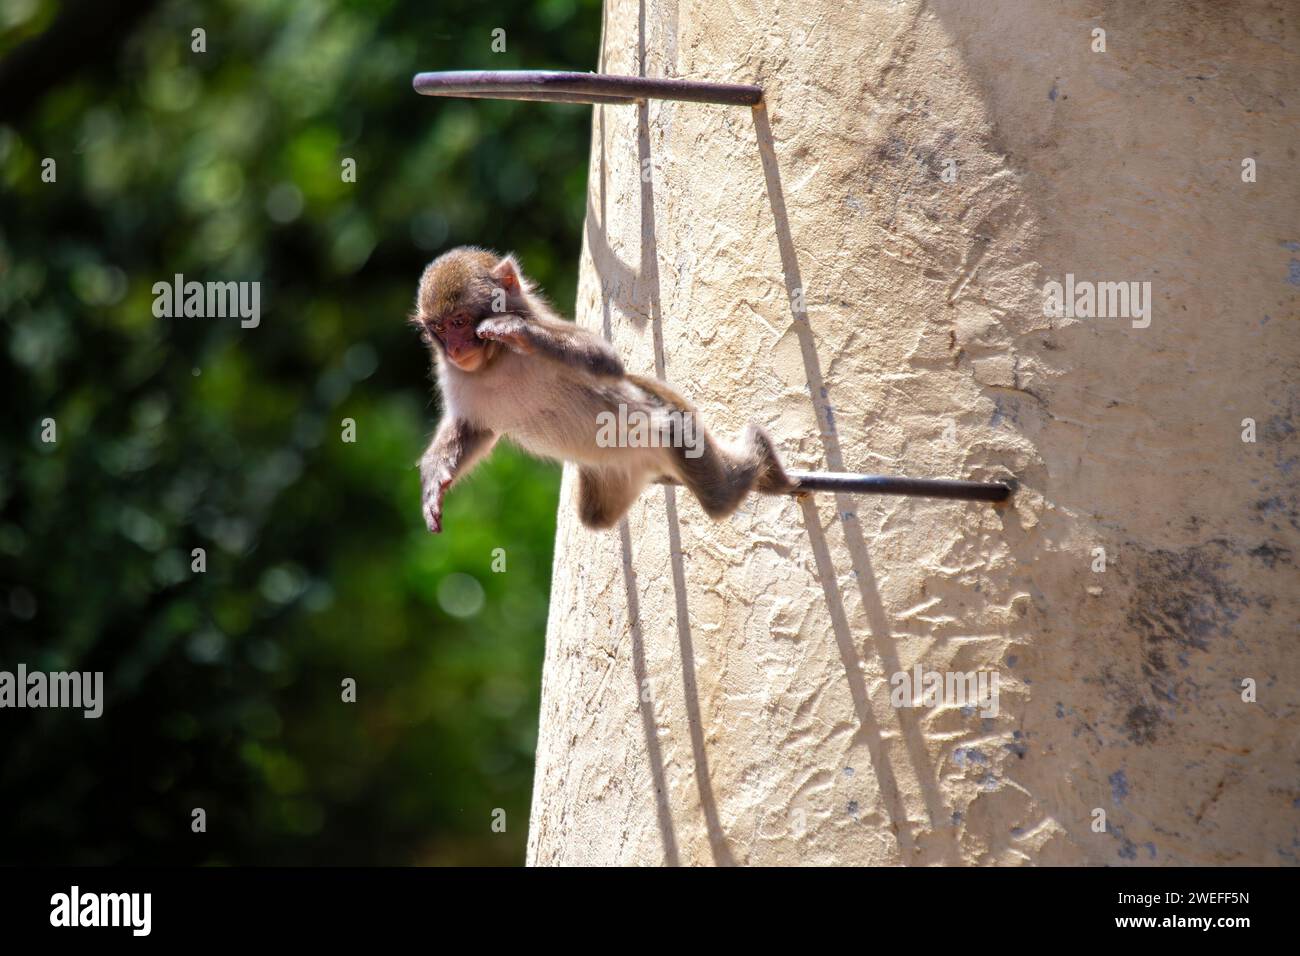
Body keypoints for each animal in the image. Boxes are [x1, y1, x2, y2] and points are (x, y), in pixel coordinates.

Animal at [410, 244, 795, 530]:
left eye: (460, 321)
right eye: (439, 328)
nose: (456, 349)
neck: (493, 363)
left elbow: (606, 360)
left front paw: (512, 328)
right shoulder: (456, 379)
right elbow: (472, 430)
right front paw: (434, 481)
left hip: (665, 427)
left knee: (712, 490)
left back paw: (759, 457)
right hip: (614, 476)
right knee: (596, 516)